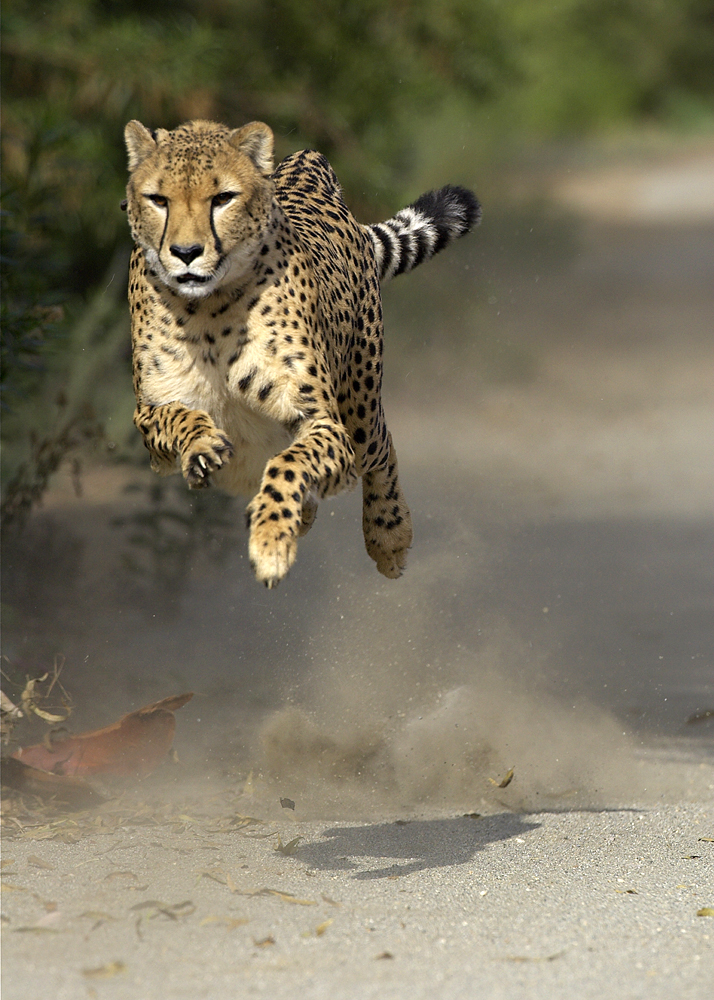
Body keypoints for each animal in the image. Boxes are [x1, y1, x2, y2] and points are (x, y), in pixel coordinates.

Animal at [122, 118, 480, 587]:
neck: (208, 310)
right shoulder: (149, 420)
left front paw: (271, 541)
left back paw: (388, 535)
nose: (186, 253)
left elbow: (288, 464)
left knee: (381, 446)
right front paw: (203, 446)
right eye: (158, 199)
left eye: (223, 198)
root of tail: (309, 162)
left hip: (360, 413)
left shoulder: (322, 422)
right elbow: (179, 416)